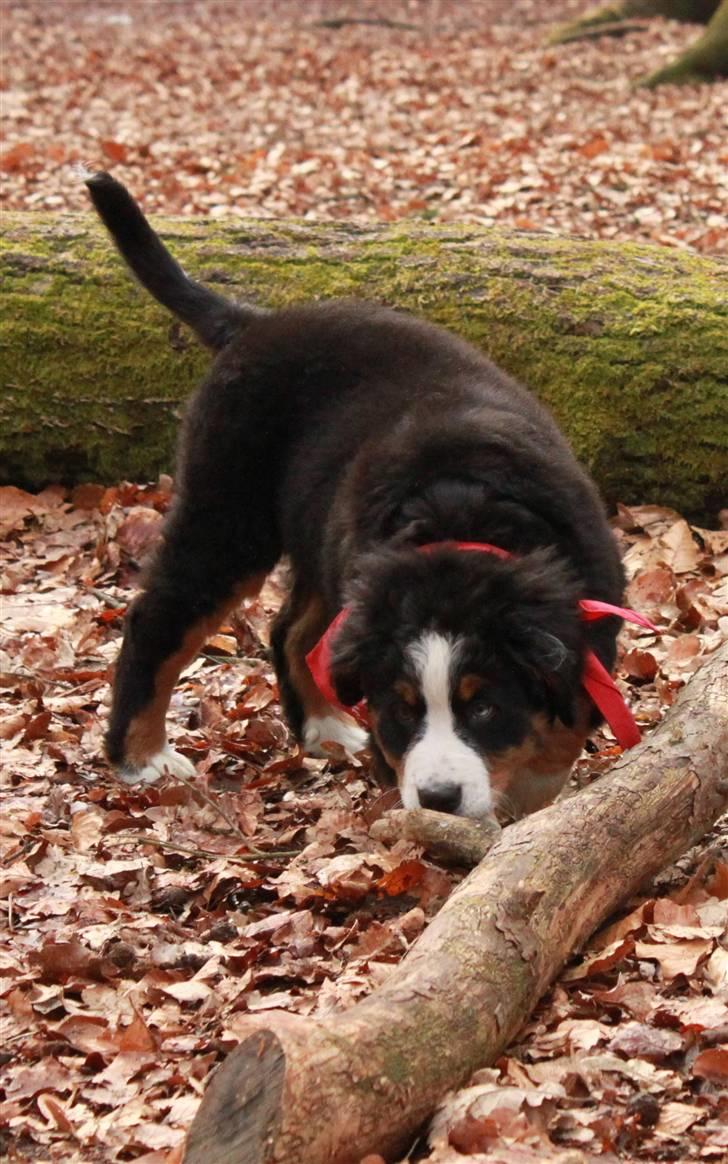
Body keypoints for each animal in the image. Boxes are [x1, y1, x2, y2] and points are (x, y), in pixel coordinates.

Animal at [89, 172, 624, 824]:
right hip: (228, 516)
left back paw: (323, 727)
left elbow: (555, 738)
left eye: (483, 708)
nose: (438, 799)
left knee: (292, 630)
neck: (462, 511)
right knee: (158, 618)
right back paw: (142, 756)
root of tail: (253, 323)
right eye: (403, 709)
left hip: (331, 547)